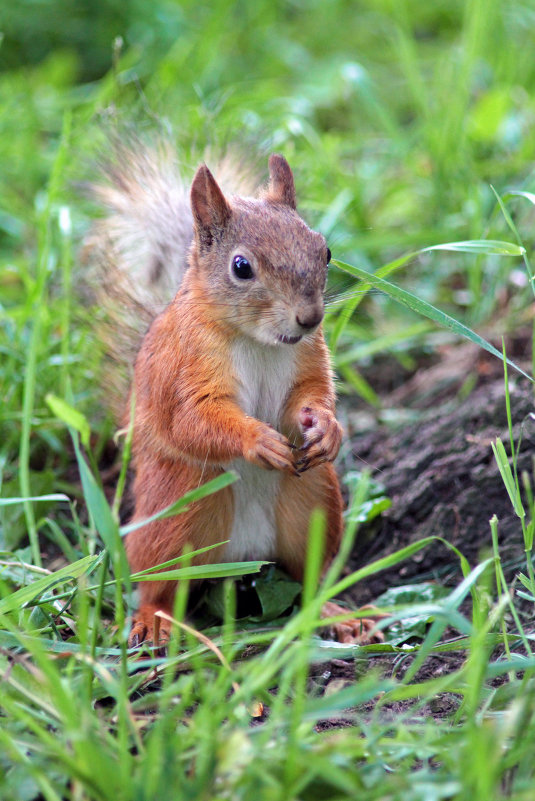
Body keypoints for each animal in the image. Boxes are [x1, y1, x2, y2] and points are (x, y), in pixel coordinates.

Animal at [91, 142, 386, 644]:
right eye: (241, 267)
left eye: (325, 251)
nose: (310, 317)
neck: (258, 340)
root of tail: (243, 558)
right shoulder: (183, 368)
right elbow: (192, 419)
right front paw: (258, 440)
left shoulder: (310, 358)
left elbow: (314, 393)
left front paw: (327, 428)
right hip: (178, 511)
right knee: (157, 584)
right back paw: (154, 620)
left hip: (314, 503)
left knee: (308, 578)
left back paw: (334, 615)